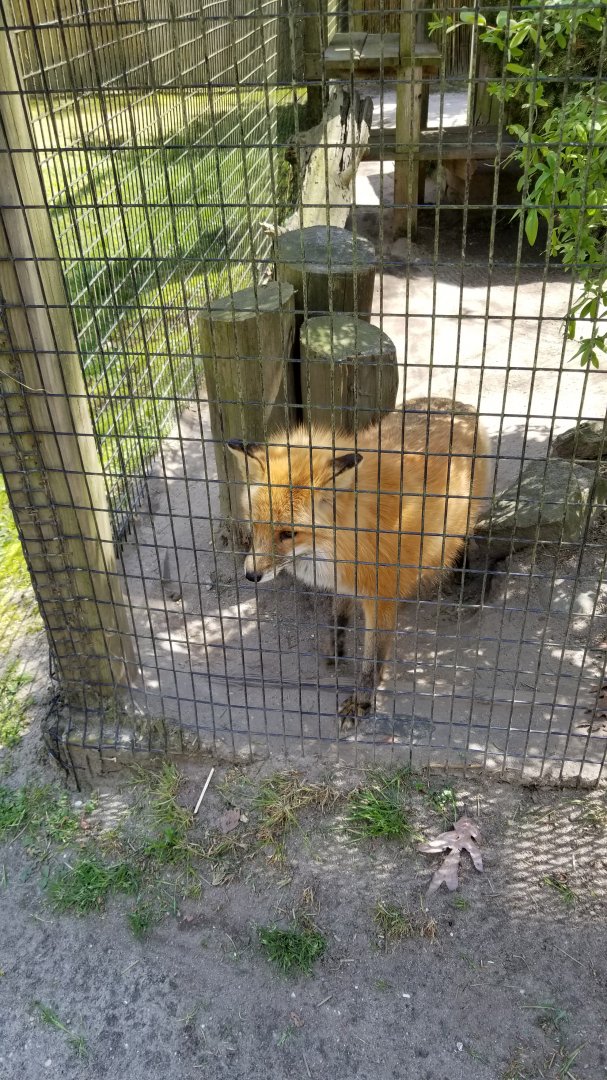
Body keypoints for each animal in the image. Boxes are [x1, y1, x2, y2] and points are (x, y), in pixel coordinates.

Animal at [228, 397, 490, 730]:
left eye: (288, 533)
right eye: (255, 525)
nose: (251, 575)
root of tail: (453, 404)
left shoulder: (381, 597)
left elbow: (373, 658)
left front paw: (362, 701)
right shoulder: (343, 582)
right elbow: (338, 618)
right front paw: (336, 651)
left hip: (461, 521)